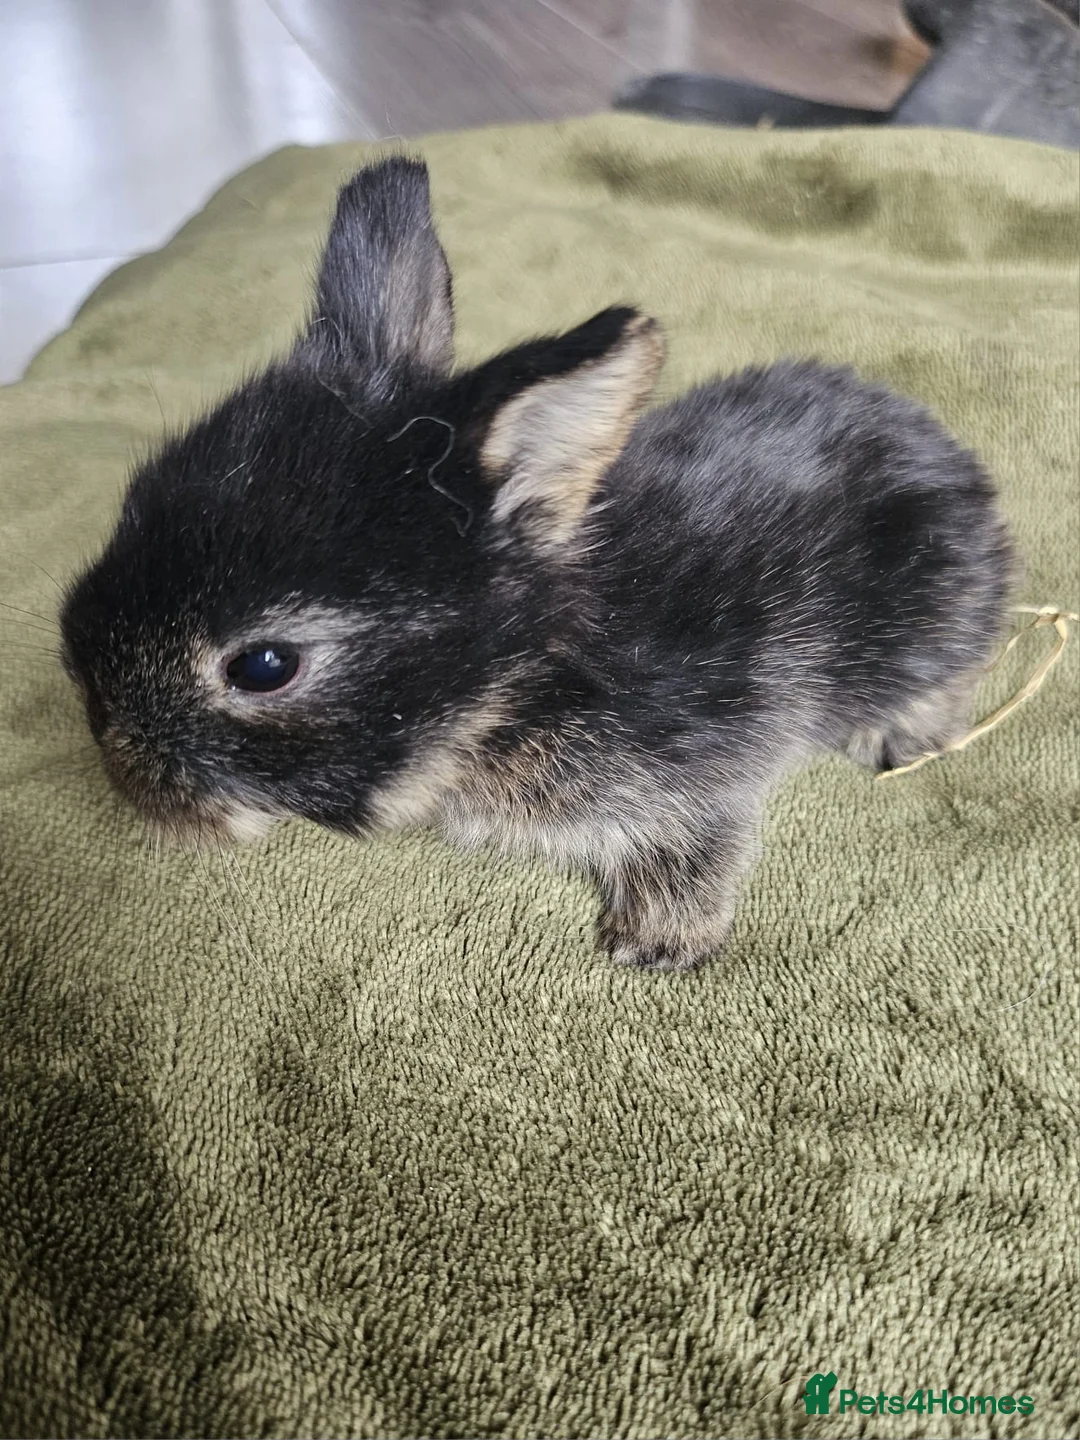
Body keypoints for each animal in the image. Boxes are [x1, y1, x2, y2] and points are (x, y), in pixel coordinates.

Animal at [60, 156, 1014, 972]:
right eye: (138, 496)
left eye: (263, 666)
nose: (108, 742)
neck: (524, 679)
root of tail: (958, 463)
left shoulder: (714, 762)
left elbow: (706, 840)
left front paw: (655, 942)